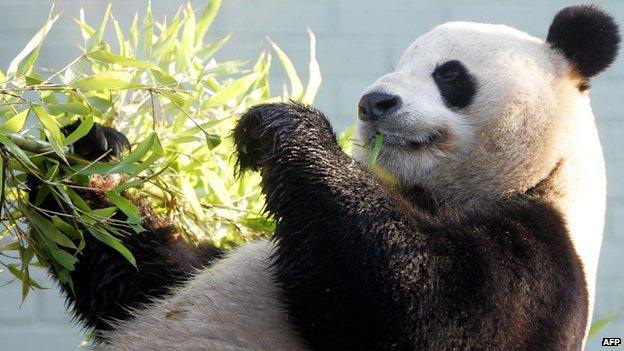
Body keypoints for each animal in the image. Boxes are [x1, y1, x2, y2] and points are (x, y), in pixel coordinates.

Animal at [28, 4, 616, 351]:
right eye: (400, 63)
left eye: (450, 74)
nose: (374, 102)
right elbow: (143, 275)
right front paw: (89, 152)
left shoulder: (544, 260)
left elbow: (427, 305)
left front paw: (286, 127)